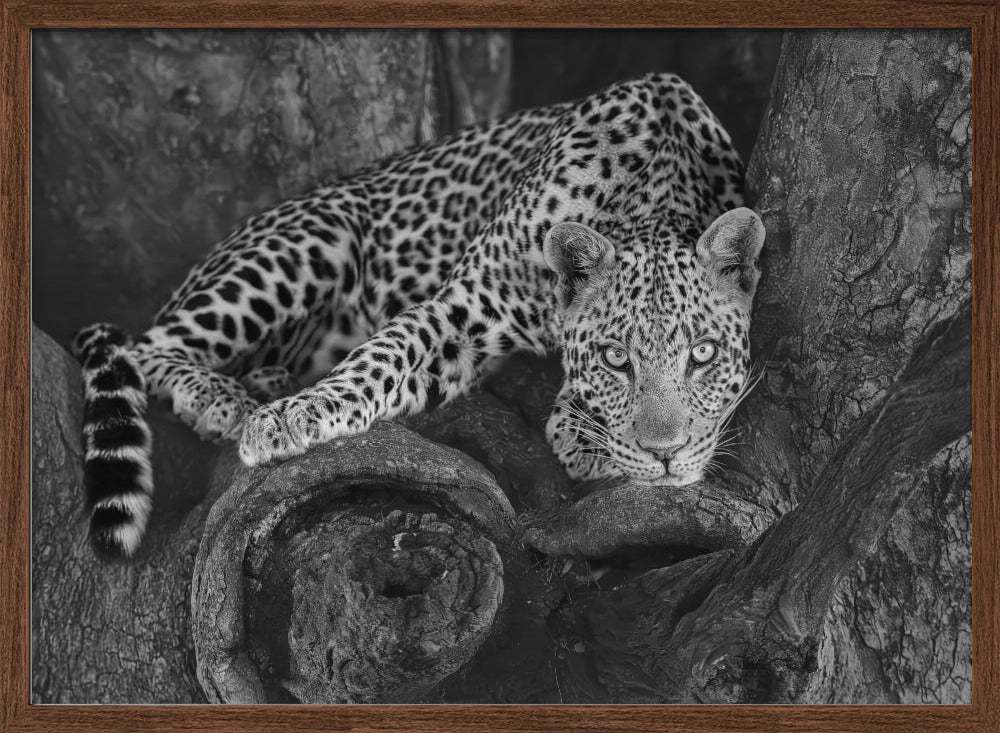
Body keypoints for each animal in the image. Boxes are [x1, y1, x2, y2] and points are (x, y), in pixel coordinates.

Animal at [73, 72, 764, 558]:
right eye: (616, 359)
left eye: (703, 355)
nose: (667, 455)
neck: (650, 192)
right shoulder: (465, 306)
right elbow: (382, 356)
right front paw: (290, 420)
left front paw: (583, 431)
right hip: (312, 239)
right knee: (145, 345)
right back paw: (226, 401)